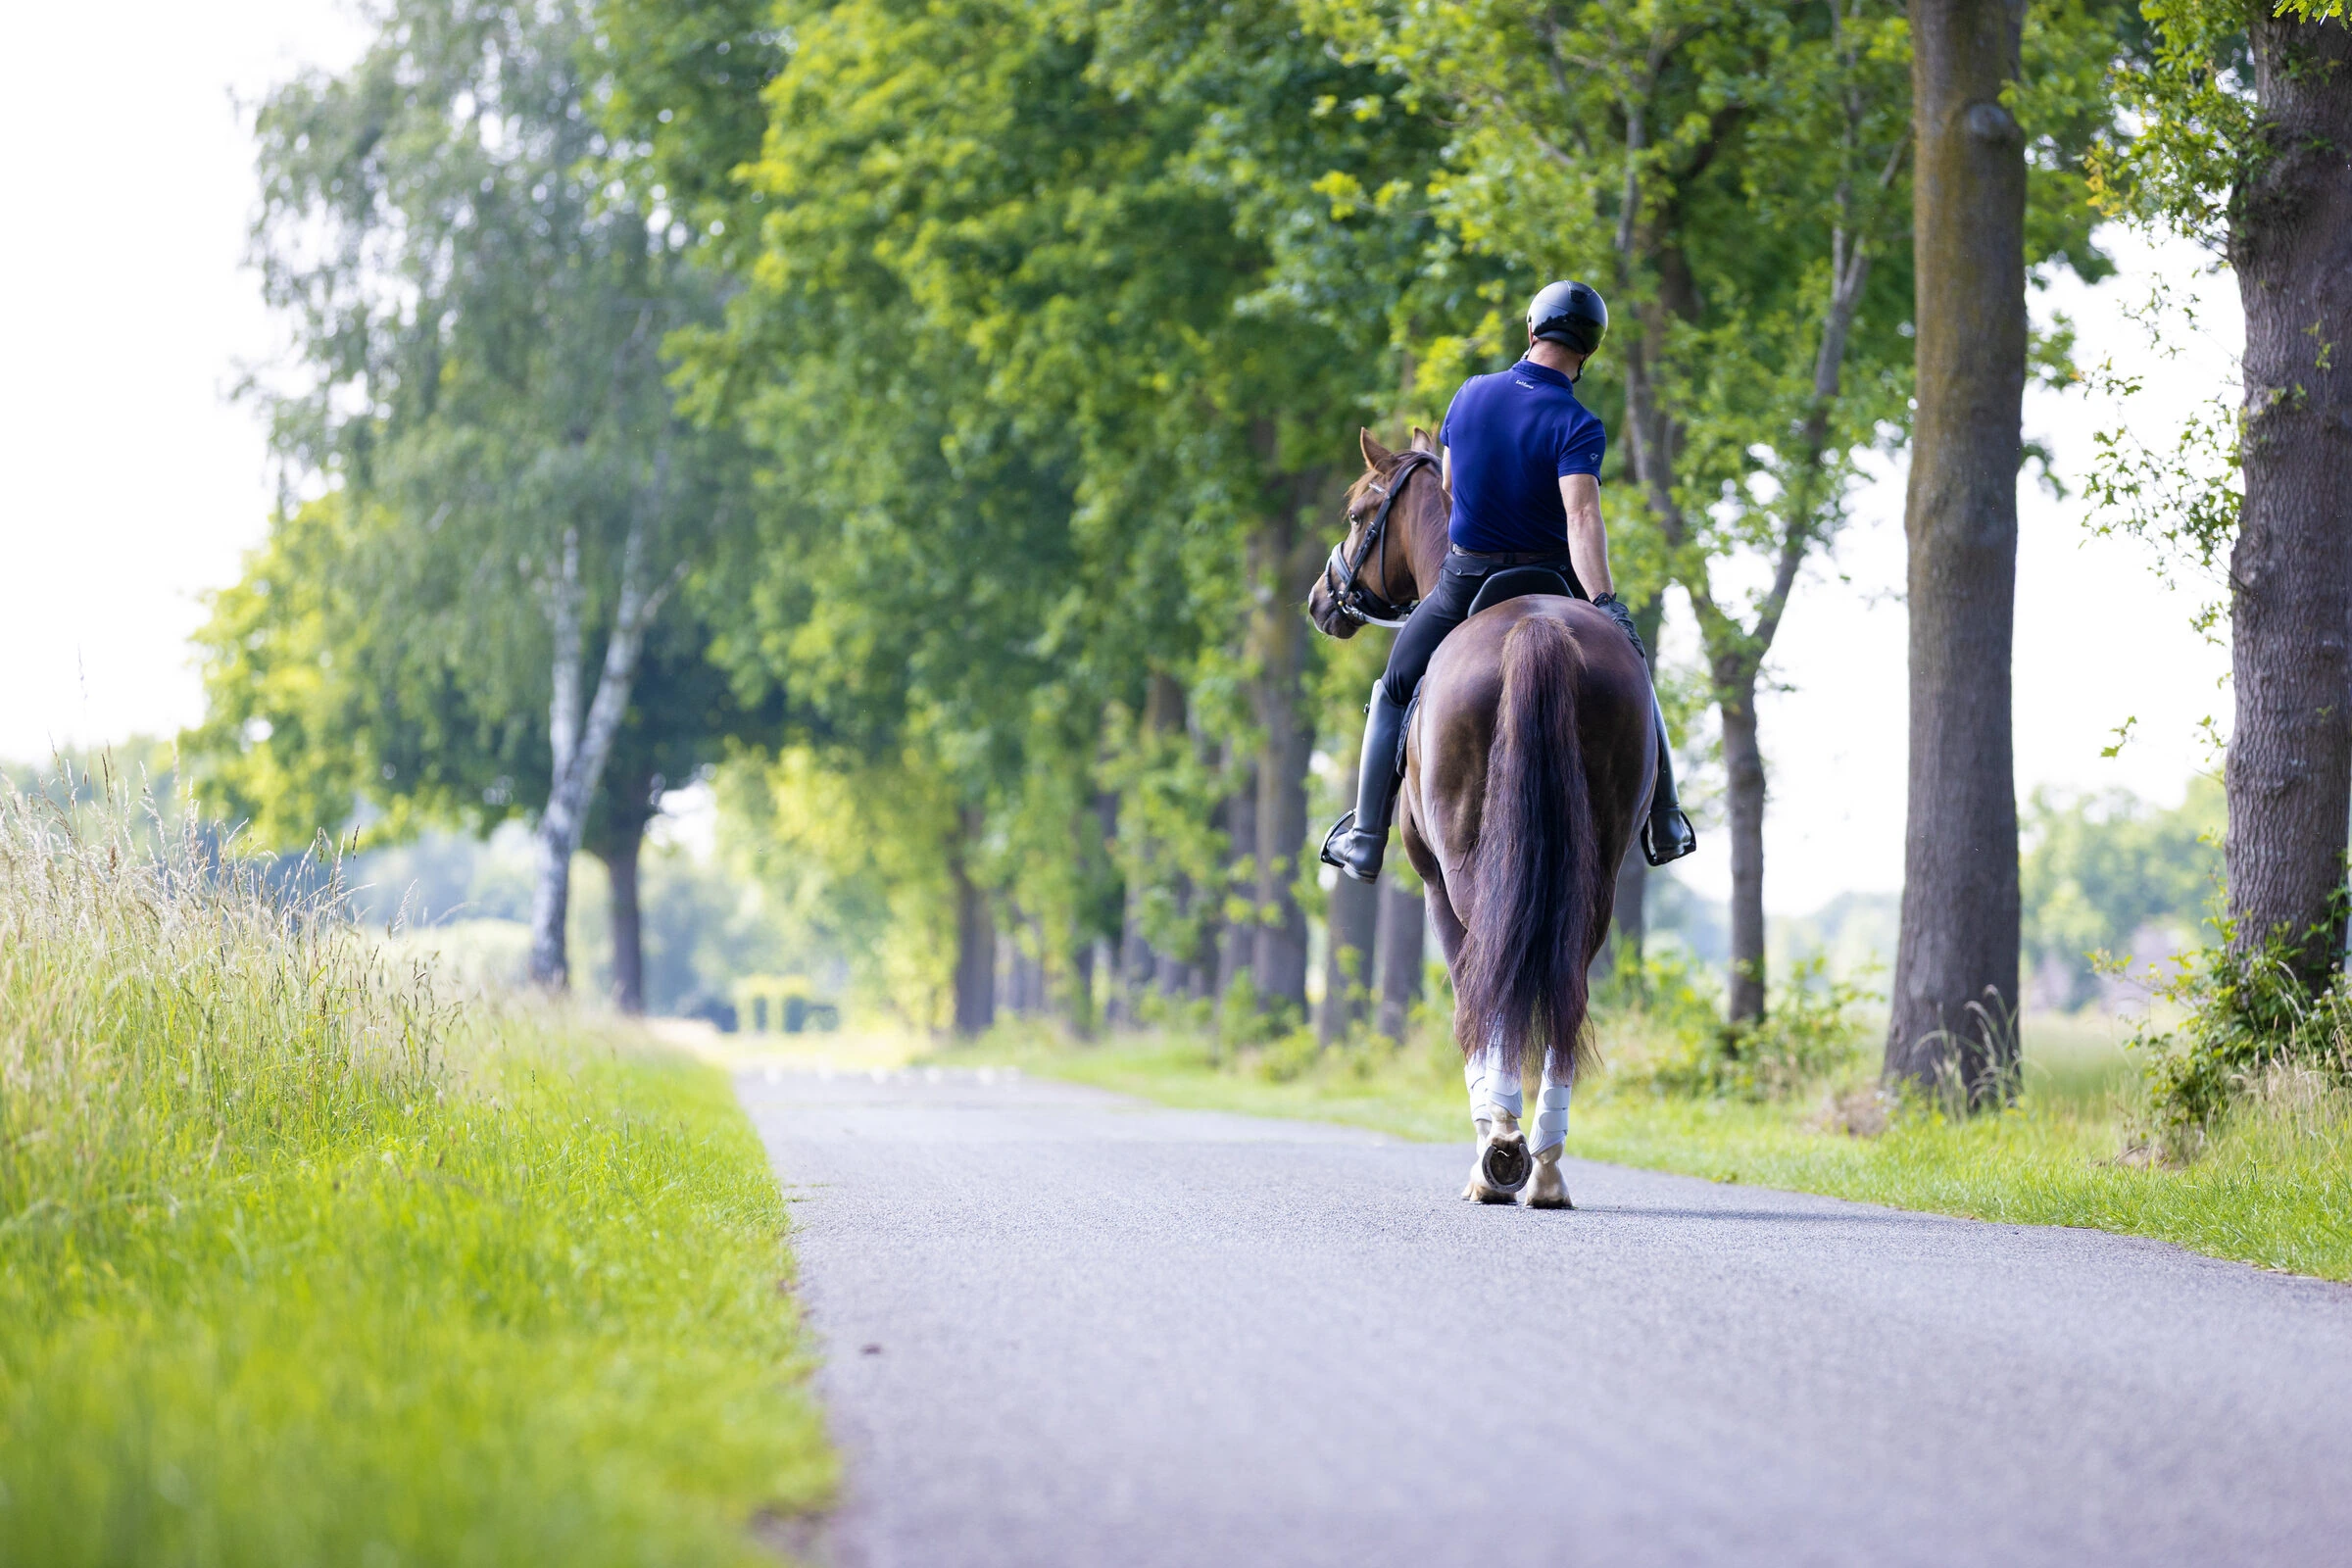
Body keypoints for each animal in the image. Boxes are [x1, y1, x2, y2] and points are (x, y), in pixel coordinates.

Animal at [1306, 427, 1655, 1208]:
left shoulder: (1432, 880)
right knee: (1565, 985)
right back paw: (1547, 1165)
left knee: (1488, 976)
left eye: (1357, 513)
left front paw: (1492, 1136)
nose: (1321, 600)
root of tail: (1537, 629)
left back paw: (1500, 1151)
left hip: (1461, 869)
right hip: (1595, 874)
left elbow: (1470, 990)